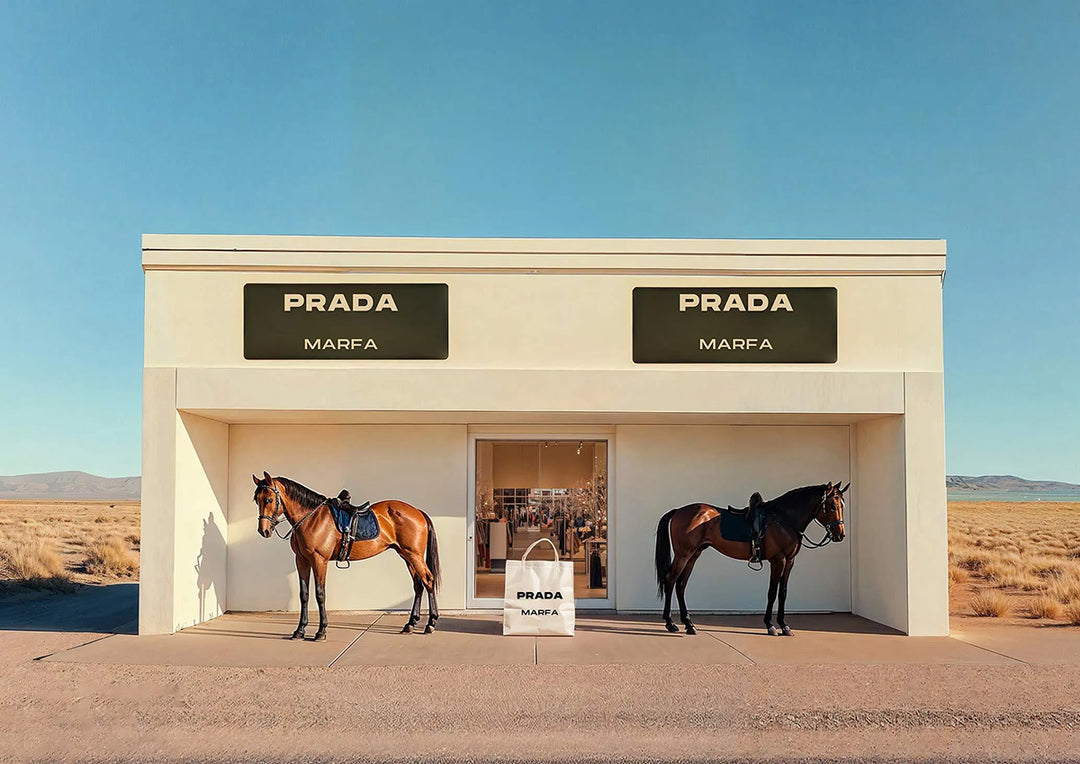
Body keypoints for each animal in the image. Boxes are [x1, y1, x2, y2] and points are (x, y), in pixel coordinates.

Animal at [250, 471, 440, 639]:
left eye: (269, 499)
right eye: (256, 500)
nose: (263, 531)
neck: (311, 518)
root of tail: (417, 511)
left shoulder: (319, 560)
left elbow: (320, 594)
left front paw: (321, 631)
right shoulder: (301, 560)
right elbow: (304, 594)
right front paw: (300, 631)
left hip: (413, 555)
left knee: (428, 580)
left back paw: (430, 623)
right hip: (406, 555)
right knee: (418, 585)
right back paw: (410, 624)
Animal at [652, 484, 846, 639]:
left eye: (842, 505)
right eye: (832, 506)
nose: (840, 535)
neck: (783, 519)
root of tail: (678, 511)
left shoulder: (790, 561)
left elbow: (782, 592)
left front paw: (784, 626)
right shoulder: (778, 560)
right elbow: (772, 592)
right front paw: (770, 626)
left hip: (694, 555)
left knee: (681, 585)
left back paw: (689, 624)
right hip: (683, 555)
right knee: (670, 581)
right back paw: (670, 623)